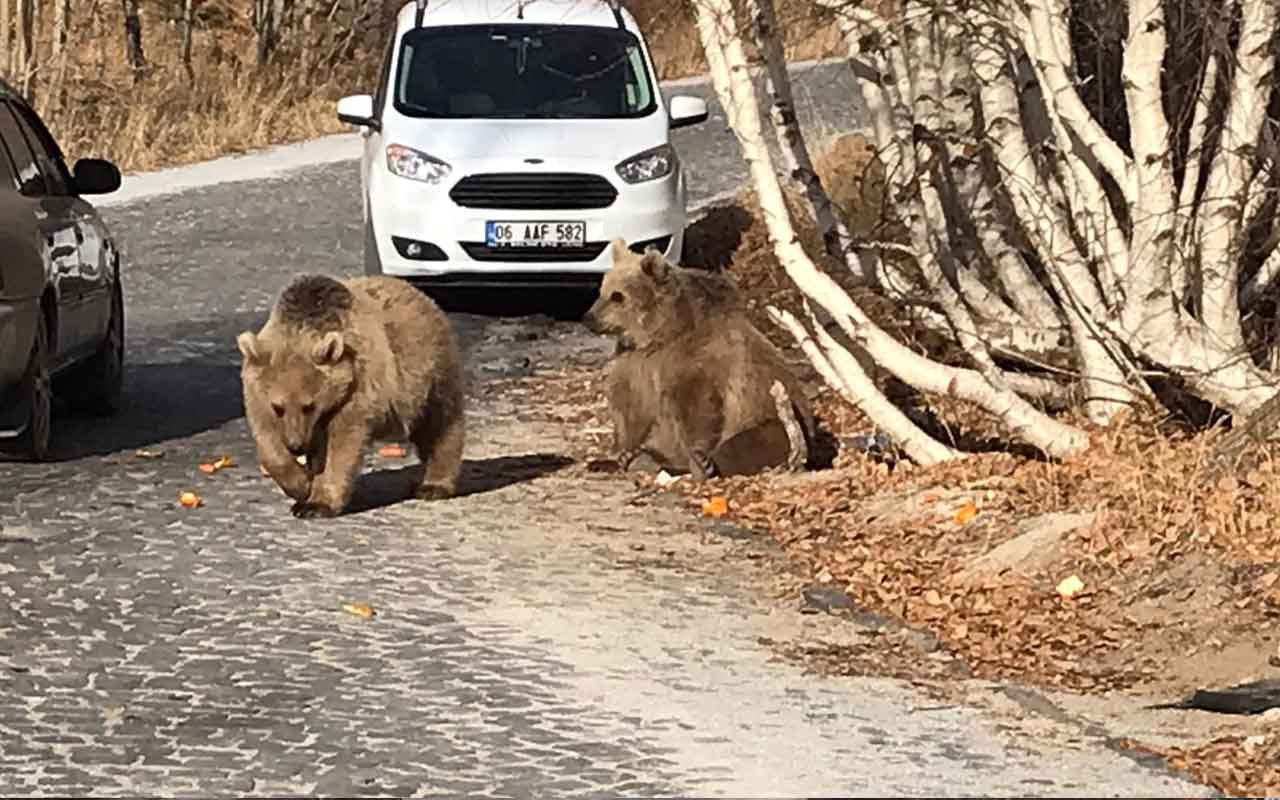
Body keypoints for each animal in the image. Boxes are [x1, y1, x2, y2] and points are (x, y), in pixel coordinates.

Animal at [236, 271, 465, 514]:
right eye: (278, 407)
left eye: (309, 406)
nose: (296, 445)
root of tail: (419, 294)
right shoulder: (256, 391)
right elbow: (268, 439)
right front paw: (301, 486)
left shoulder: (355, 386)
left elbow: (342, 443)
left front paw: (317, 503)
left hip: (427, 375)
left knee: (439, 425)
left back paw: (434, 485)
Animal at [586, 235, 814, 473]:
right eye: (602, 290)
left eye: (618, 296)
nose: (589, 318)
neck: (660, 334)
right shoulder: (637, 364)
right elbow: (628, 404)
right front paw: (618, 455)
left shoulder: (697, 361)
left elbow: (696, 408)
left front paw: (699, 459)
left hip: (772, 417)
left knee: (751, 440)